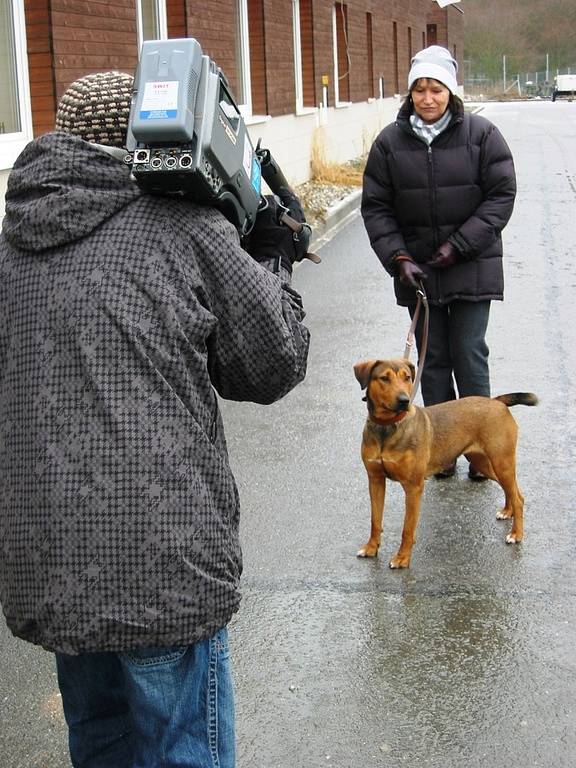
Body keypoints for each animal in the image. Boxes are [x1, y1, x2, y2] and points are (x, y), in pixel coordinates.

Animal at [354, 356, 536, 568]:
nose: (404, 401)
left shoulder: (414, 487)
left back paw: (516, 534)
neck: (387, 427)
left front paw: (402, 559)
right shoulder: (375, 480)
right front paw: (371, 548)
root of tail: (497, 402)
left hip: (501, 461)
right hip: (484, 462)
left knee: (518, 497)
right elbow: (375, 521)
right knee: (511, 490)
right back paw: (508, 511)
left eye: (407, 378)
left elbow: (407, 529)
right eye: (384, 378)